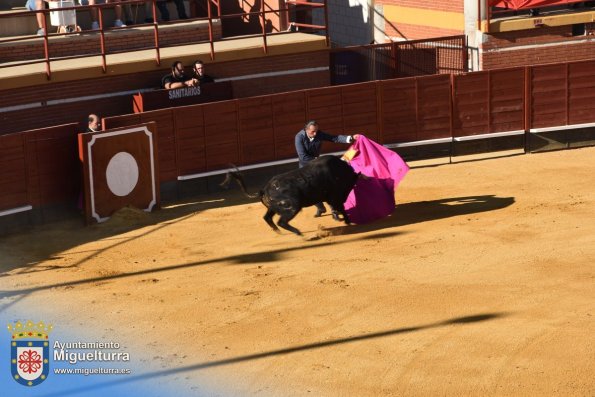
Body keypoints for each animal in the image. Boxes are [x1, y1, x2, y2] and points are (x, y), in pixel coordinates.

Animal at [222, 155, 360, 235]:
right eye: (351, 185)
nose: (345, 197)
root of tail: (264, 189)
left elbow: (339, 208)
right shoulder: (334, 196)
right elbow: (340, 207)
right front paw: (347, 221)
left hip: (274, 207)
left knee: (267, 218)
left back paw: (279, 232)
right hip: (292, 206)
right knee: (281, 222)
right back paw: (299, 233)